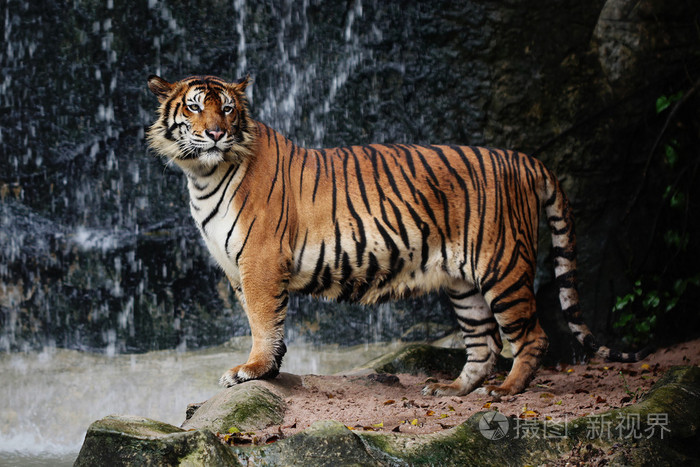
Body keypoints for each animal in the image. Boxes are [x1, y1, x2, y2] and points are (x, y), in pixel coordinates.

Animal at [146, 74, 648, 398]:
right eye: (194, 105)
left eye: (228, 108)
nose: (216, 133)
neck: (203, 174)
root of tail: (523, 158)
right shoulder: (237, 268)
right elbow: (265, 320)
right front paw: (269, 370)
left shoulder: (261, 261)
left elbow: (262, 321)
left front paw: (252, 370)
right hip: (464, 284)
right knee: (483, 343)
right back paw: (452, 389)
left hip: (502, 266)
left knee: (531, 337)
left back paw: (507, 390)